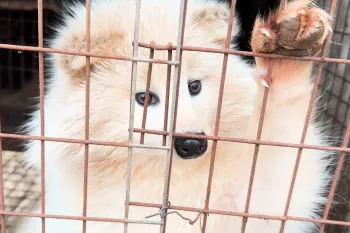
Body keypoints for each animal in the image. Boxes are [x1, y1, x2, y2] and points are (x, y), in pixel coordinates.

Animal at [15, 0, 334, 232]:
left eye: (194, 86)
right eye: (144, 98)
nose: (192, 144)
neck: (168, 178)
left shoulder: (254, 203)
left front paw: (288, 48)